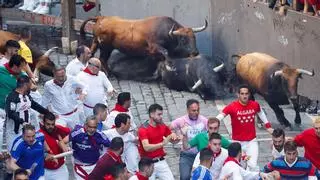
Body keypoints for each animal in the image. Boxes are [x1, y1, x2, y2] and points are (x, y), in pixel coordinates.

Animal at [80, 15, 208, 70]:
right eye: (183, 39)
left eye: (194, 37)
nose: (195, 52)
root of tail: (101, 17)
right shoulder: (154, 47)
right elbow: (165, 52)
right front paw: (169, 66)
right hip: (105, 47)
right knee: (102, 58)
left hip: (100, 44)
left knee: (95, 55)